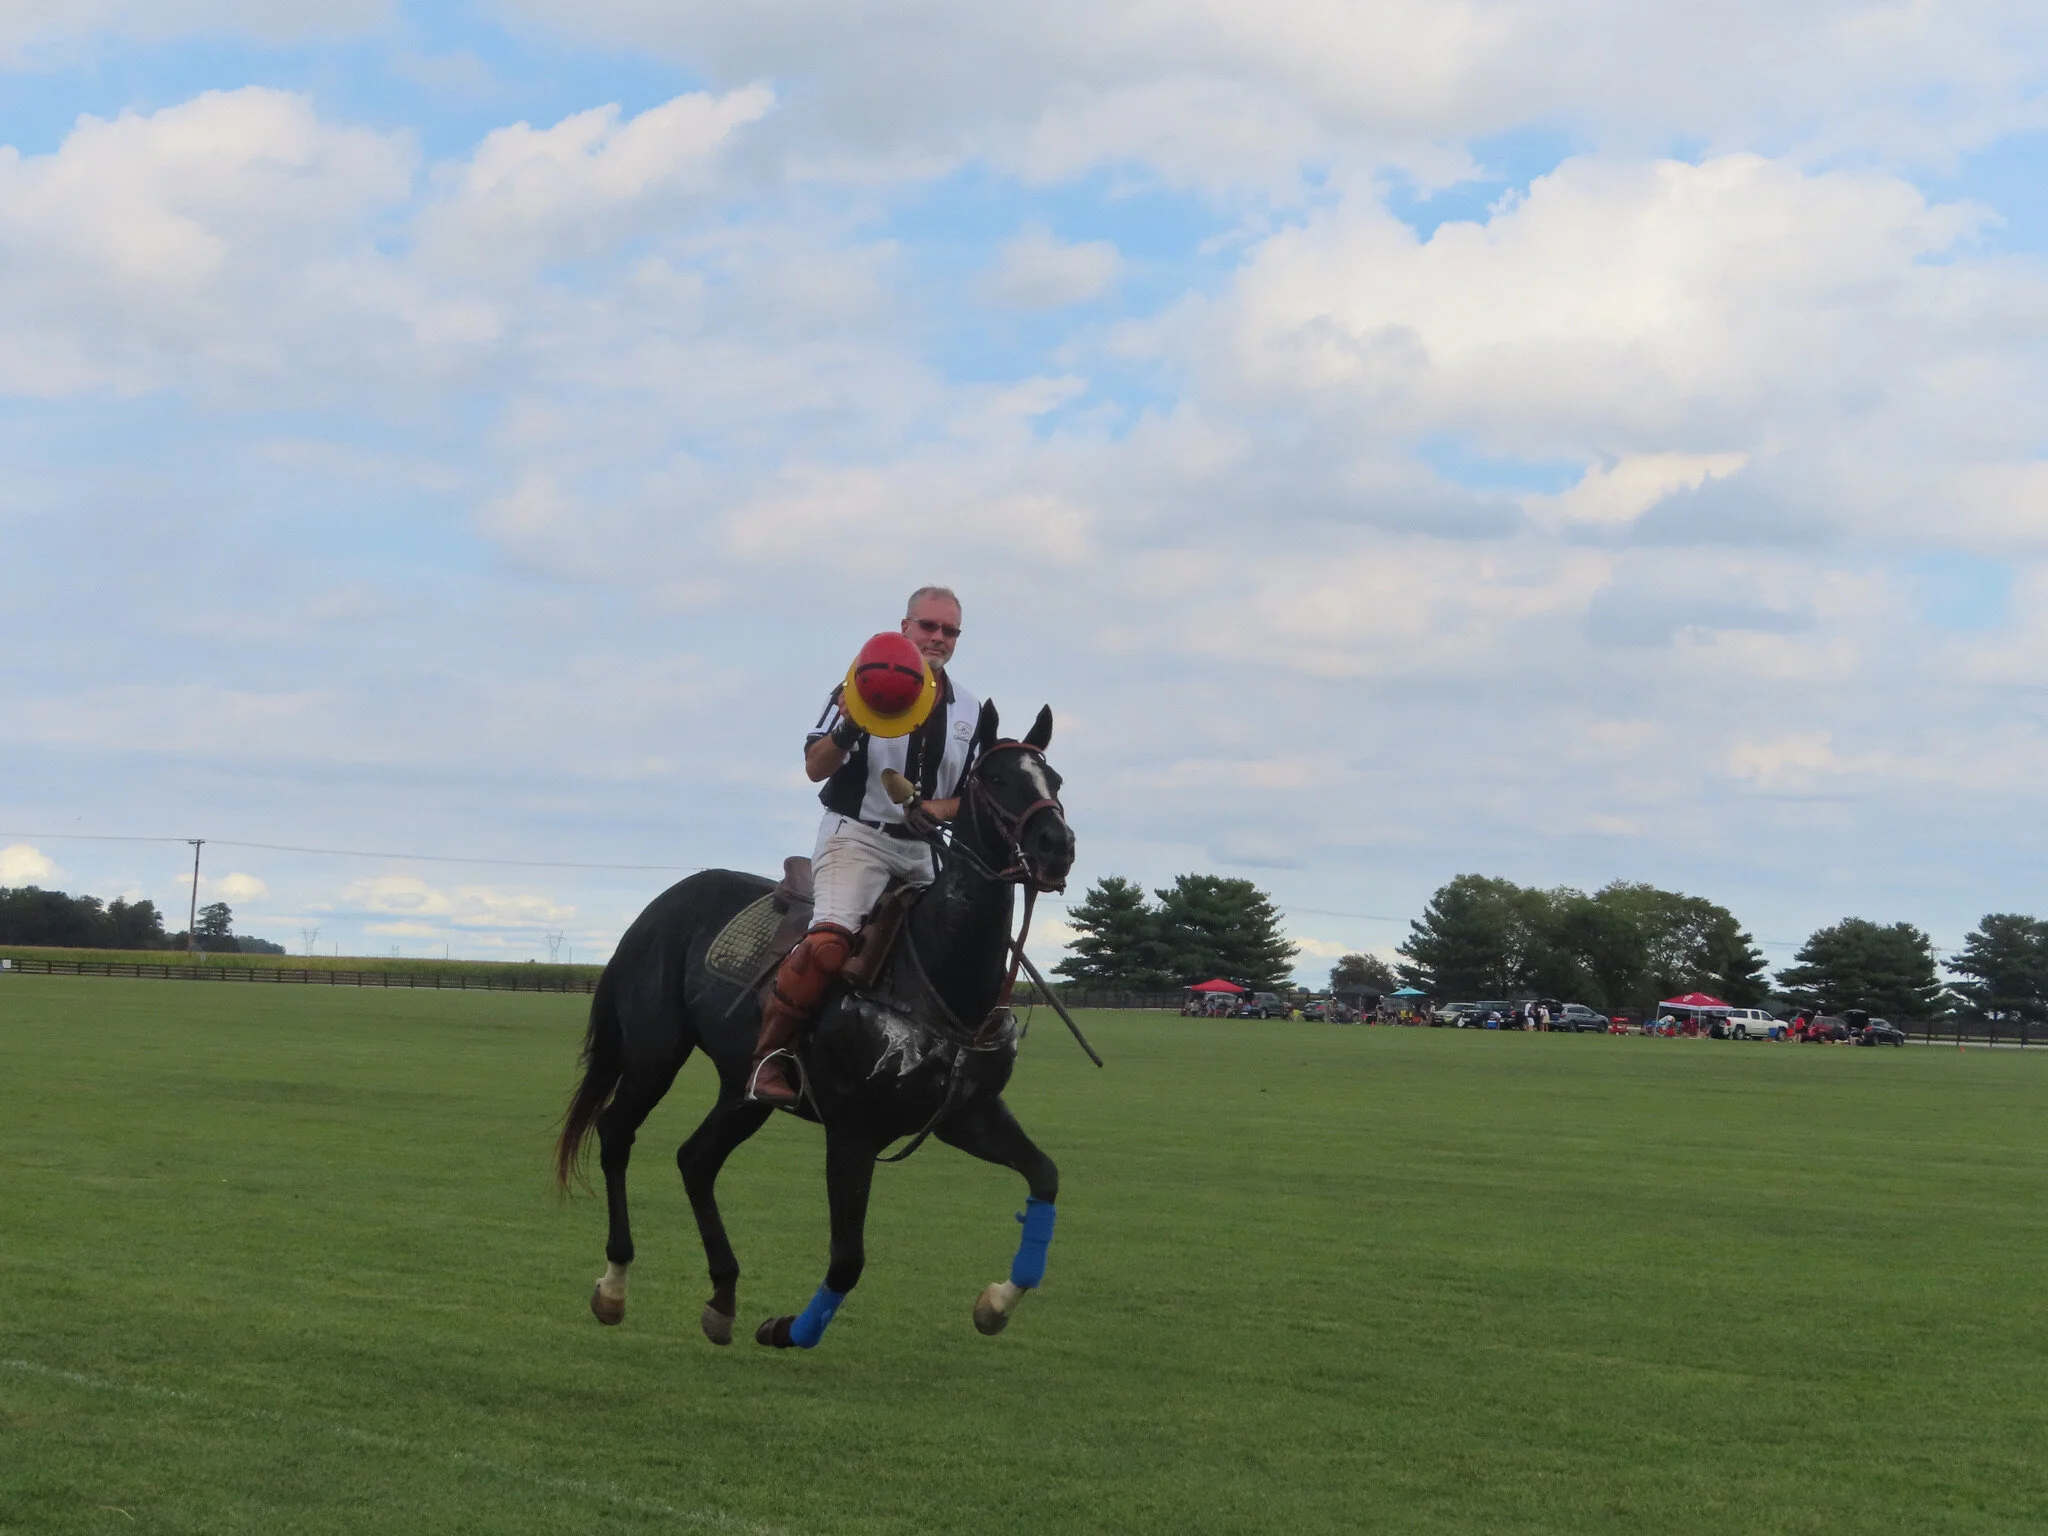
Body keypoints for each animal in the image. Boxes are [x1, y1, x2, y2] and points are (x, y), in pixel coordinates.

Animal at [554, 700, 1077, 1349]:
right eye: (998, 778)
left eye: (1055, 781)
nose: (1057, 845)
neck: (939, 975)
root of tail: (660, 905)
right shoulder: (852, 1130)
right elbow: (847, 1259)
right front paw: (786, 1329)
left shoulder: (967, 1115)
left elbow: (1045, 1177)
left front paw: (997, 1304)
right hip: (654, 1053)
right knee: (616, 1132)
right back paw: (614, 1284)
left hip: (743, 1087)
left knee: (695, 1159)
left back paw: (722, 1297)